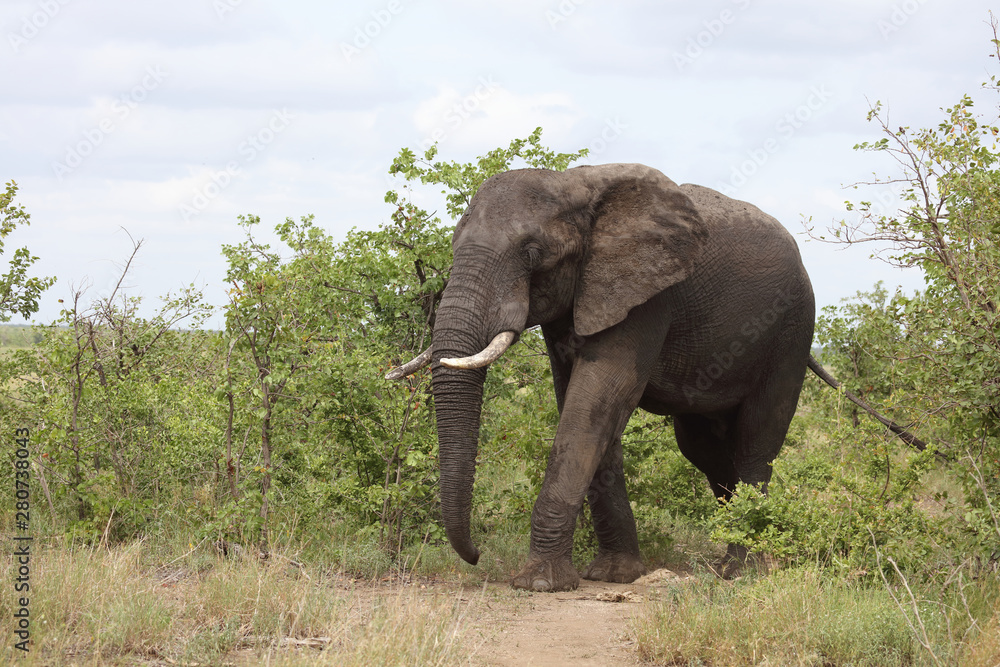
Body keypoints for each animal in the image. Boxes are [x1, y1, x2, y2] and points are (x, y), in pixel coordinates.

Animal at [384, 164, 920, 592]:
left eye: (533, 253)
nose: (475, 556)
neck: (577, 186)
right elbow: (581, 402)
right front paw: (615, 576)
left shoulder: (649, 293)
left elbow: (599, 396)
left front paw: (538, 584)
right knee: (704, 448)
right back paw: (729, 554)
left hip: (791, 330)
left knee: (756, 440)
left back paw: (740, 572)